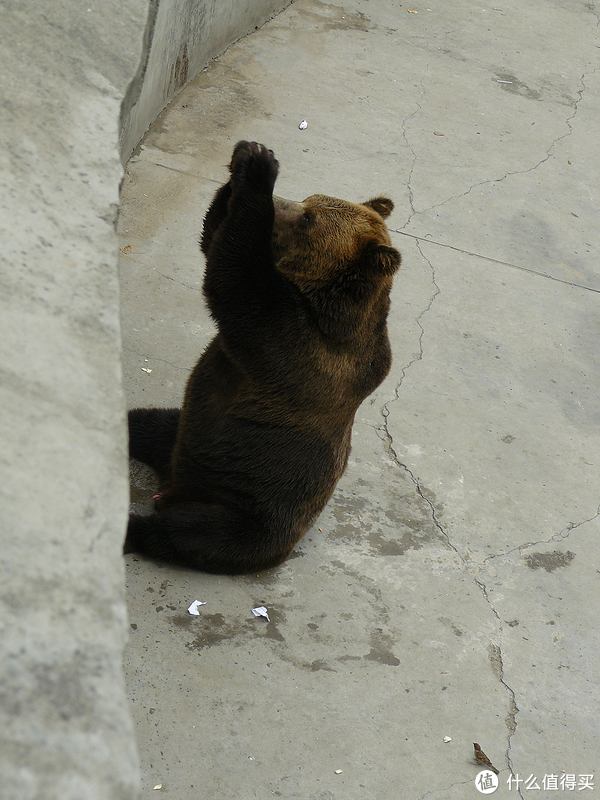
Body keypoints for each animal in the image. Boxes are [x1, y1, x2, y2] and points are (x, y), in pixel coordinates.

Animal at [125, 141, 400, 572]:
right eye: (309, 201)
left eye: (307, 218)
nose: (280, 201)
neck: (325, 302)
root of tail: (172, 485)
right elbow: (214, 238)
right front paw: (244, 159)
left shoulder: (300, 348)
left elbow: (235, 281)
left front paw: (257, 168)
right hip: (182, 430)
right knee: (147, 423)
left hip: (249, 510)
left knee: (192, 533)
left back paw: (133, 529)